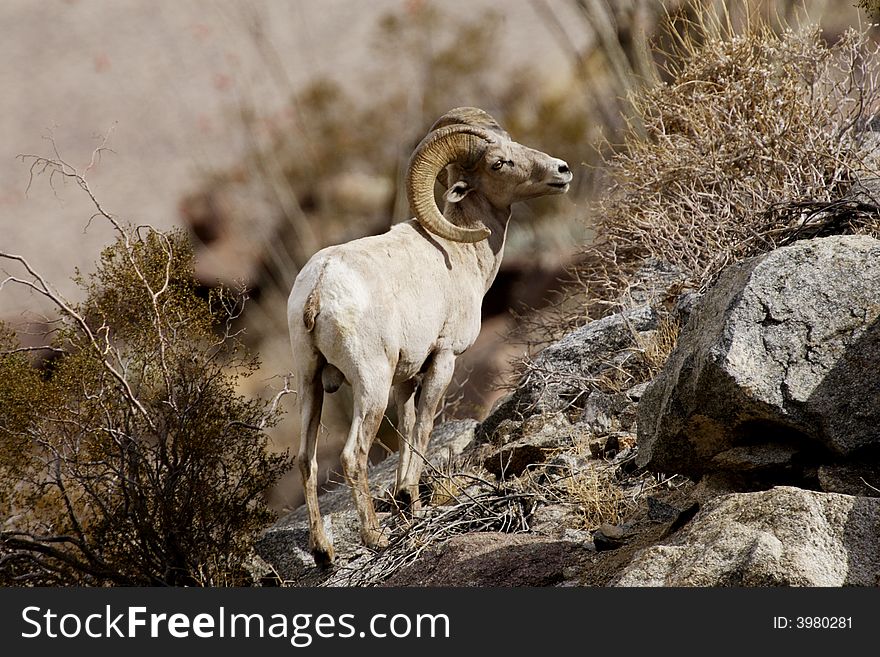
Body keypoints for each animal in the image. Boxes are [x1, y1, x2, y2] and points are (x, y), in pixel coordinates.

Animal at [288, 107, 572, 564]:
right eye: (499, 163)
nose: (562, 171)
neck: (460, 255)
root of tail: (319, 289)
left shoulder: (405, 377)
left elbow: (406, 431)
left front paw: (408, 503)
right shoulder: (443, 359)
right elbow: (423, 427)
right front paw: (410, 499)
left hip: (309, 382)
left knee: (306, 460)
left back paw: (323, 553)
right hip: (370, 384)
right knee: (353, 455)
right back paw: (374, 537)